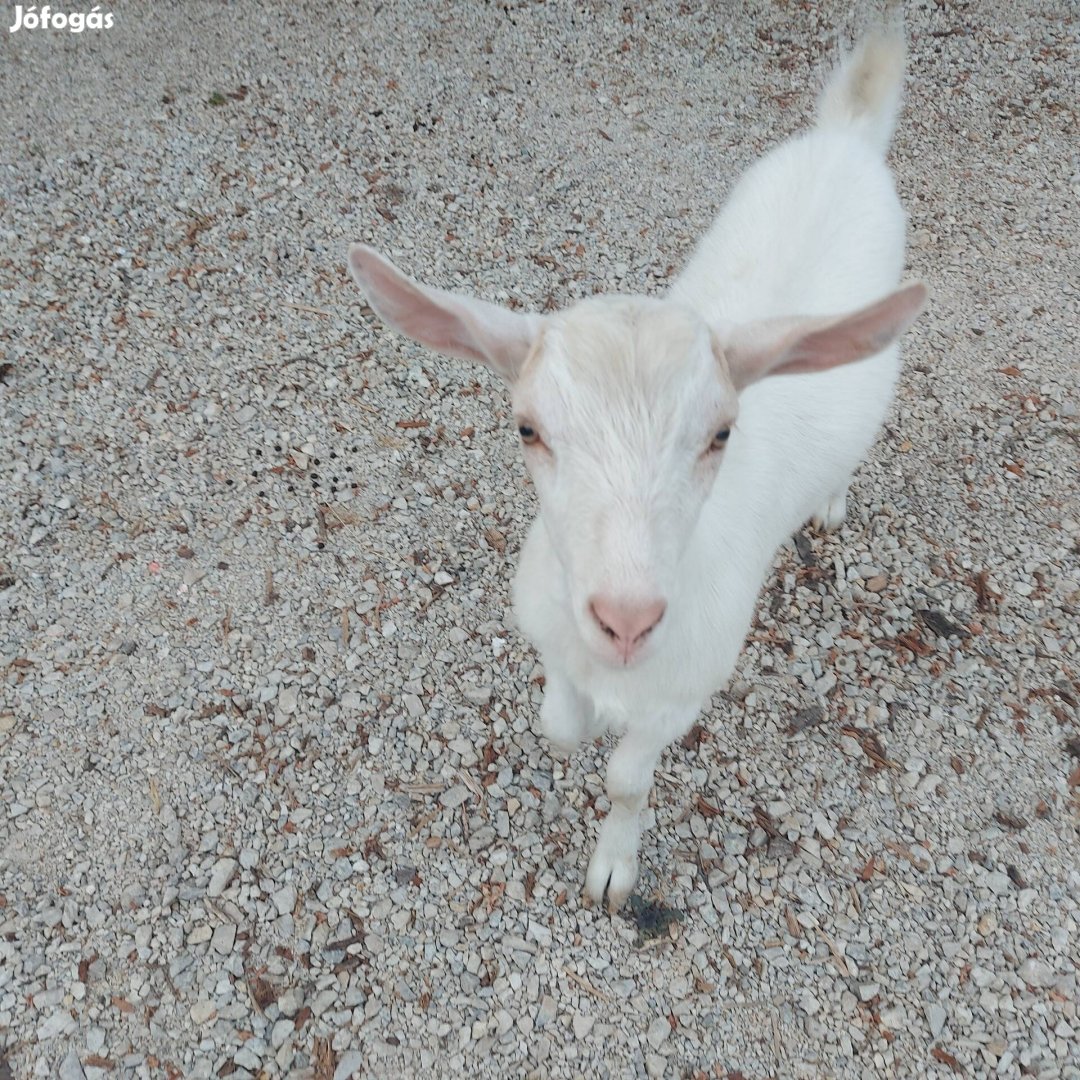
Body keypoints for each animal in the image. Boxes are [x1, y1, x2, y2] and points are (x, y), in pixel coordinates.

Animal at [345, 25, 928, 907]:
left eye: (722, 433)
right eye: (527, 428)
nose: (626, 620)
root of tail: (848, 136)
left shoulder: (684, 689)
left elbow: (627, 779)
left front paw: (614, 868)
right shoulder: (551, 632)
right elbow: (557, 726)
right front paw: (581, 724)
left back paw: (829, 503)